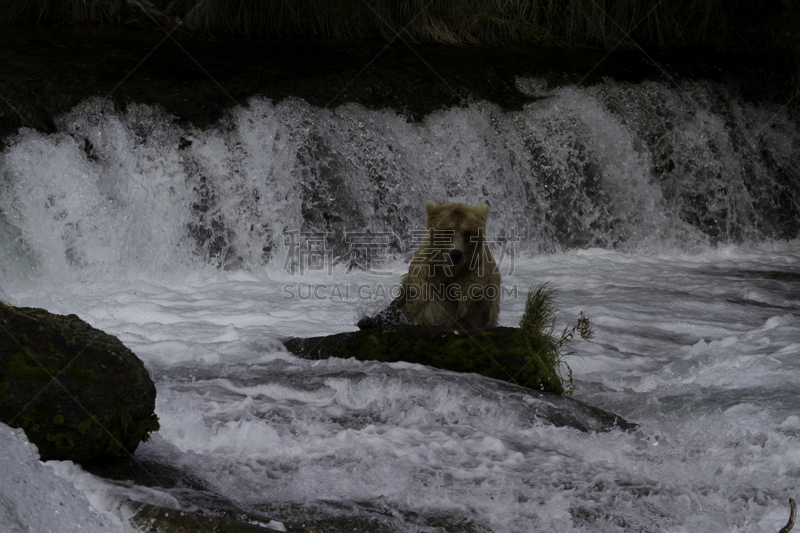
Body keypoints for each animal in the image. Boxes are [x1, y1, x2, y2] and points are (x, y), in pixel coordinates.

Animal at [358, 201, 496, 328]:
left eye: (467, 233)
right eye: (448, 231)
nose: (456, 254)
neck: (450, 270)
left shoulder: (474, 270)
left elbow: (475, 303)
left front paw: (458, 325)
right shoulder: (426, 268)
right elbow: (411, 300)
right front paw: (370, 320)